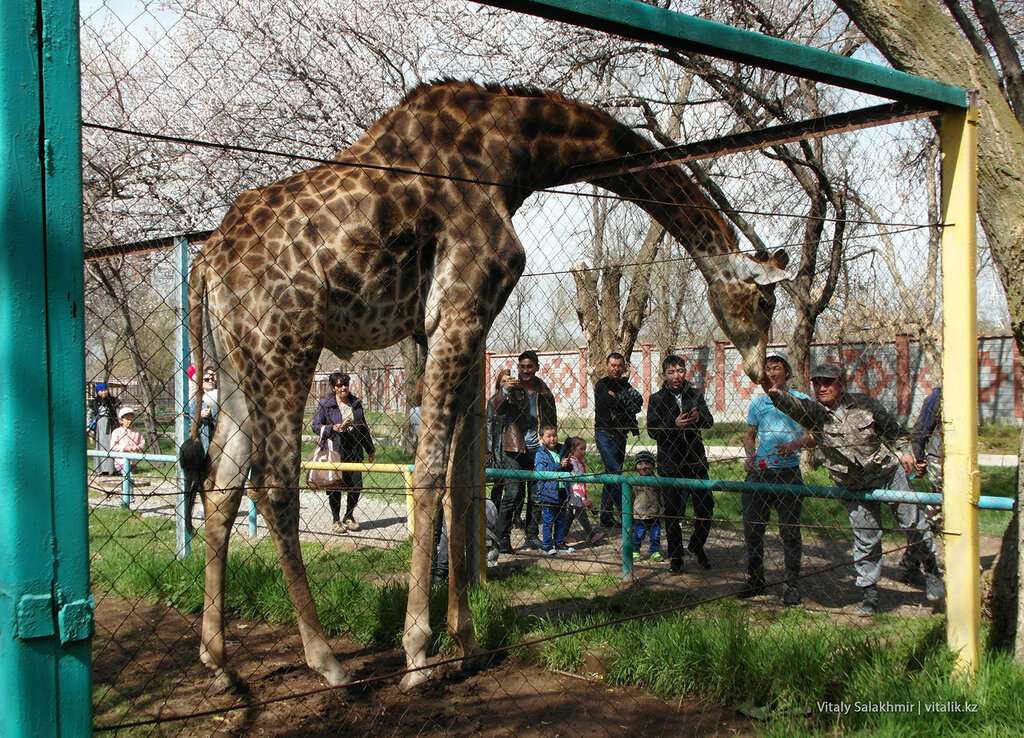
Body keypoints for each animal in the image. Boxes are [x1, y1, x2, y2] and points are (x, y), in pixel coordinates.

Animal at [186, 79, 790, 691]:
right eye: (766, 302)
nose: (761, 369)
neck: (513, 154)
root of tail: (206, 263)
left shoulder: (454, 324)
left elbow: (462, 478)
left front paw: (467, 641)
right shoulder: (458, 311)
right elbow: (431, 474)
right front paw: (418, 655)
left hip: (235, 364)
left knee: (221, 483)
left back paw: (218, 661)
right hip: (286, 344)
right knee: (275, 485)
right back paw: (326, 660)